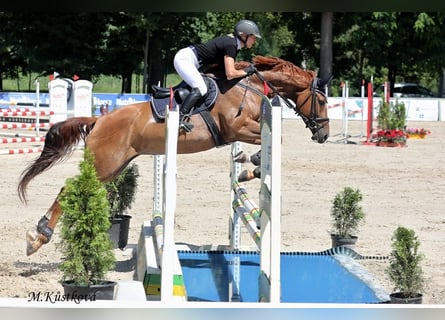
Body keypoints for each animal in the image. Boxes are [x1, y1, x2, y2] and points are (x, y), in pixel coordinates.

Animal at [18, 54, 330, 255]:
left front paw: (244, 167)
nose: (324, 135)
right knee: (67, 189)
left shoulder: (242, 131)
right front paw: (248, 164)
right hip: (106, 164)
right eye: (322, 100)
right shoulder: (237, 128)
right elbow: (275, 139)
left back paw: (40, 232)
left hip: (114, 166)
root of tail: (98, 120)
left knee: (73, 189)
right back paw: (38, 238)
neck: (247, 86)